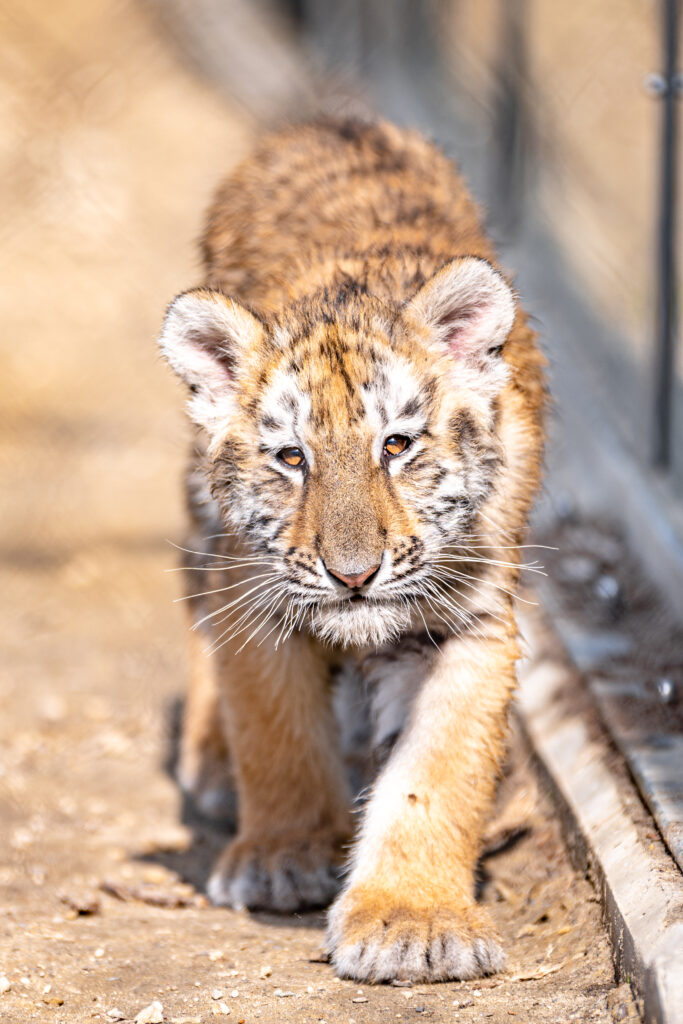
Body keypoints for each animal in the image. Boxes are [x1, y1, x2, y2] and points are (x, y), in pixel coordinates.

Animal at [158, 117, 545, 983]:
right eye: (291, 458)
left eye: (395, 446)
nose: (353, 575)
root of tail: (325, 123)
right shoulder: (255, 597)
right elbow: (275, 733)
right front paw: (282, 856)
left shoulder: (468, 626)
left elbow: (436, 775)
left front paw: (412, 924)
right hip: (204, 525)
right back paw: (211, 765)